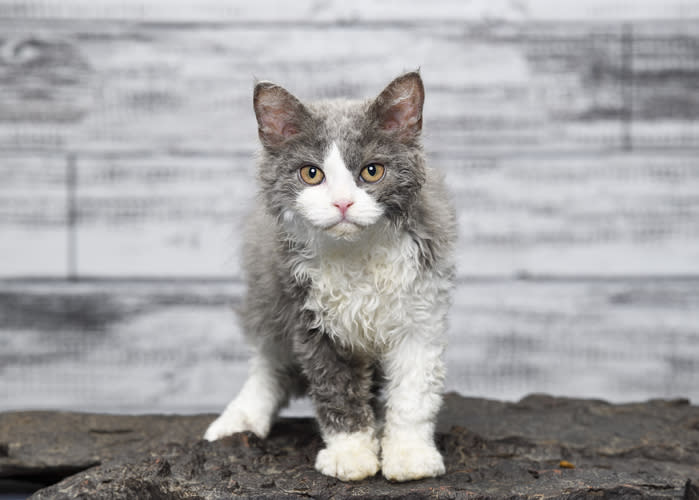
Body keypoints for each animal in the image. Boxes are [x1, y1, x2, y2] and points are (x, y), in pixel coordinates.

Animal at [205, 72, 456, 482]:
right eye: (311, 174)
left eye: (372, 171)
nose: (342, 203)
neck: (357, 253)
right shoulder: (310, 318)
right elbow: (336, 390)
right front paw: (350, 454)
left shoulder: (421, 311)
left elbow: (414, 393)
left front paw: (409, 454)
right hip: (267, 293)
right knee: (269, 361)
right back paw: (240, 418)